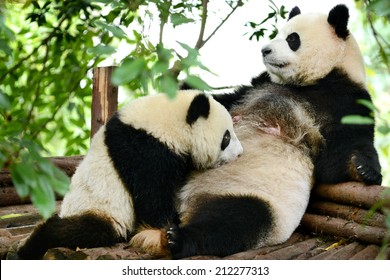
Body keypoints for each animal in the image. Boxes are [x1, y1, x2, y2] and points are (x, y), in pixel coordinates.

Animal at [12, 91, 242, 260]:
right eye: (226, 137)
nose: (240, 153)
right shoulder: (145, 149)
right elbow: (151, 196)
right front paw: (168, 224)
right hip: (101, 209)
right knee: (77, 230)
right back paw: (28, 247)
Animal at [133, 4, 380, 260]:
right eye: (280, 33)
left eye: (292, 39)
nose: (265, 50)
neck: (314, 81)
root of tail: (187, 206)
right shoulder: (258, 85)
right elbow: (225, 100)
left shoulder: (347, 99)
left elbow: (337, 160)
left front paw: (363, 169)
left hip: (256, 200)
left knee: (234, 222)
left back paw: (177, 239)